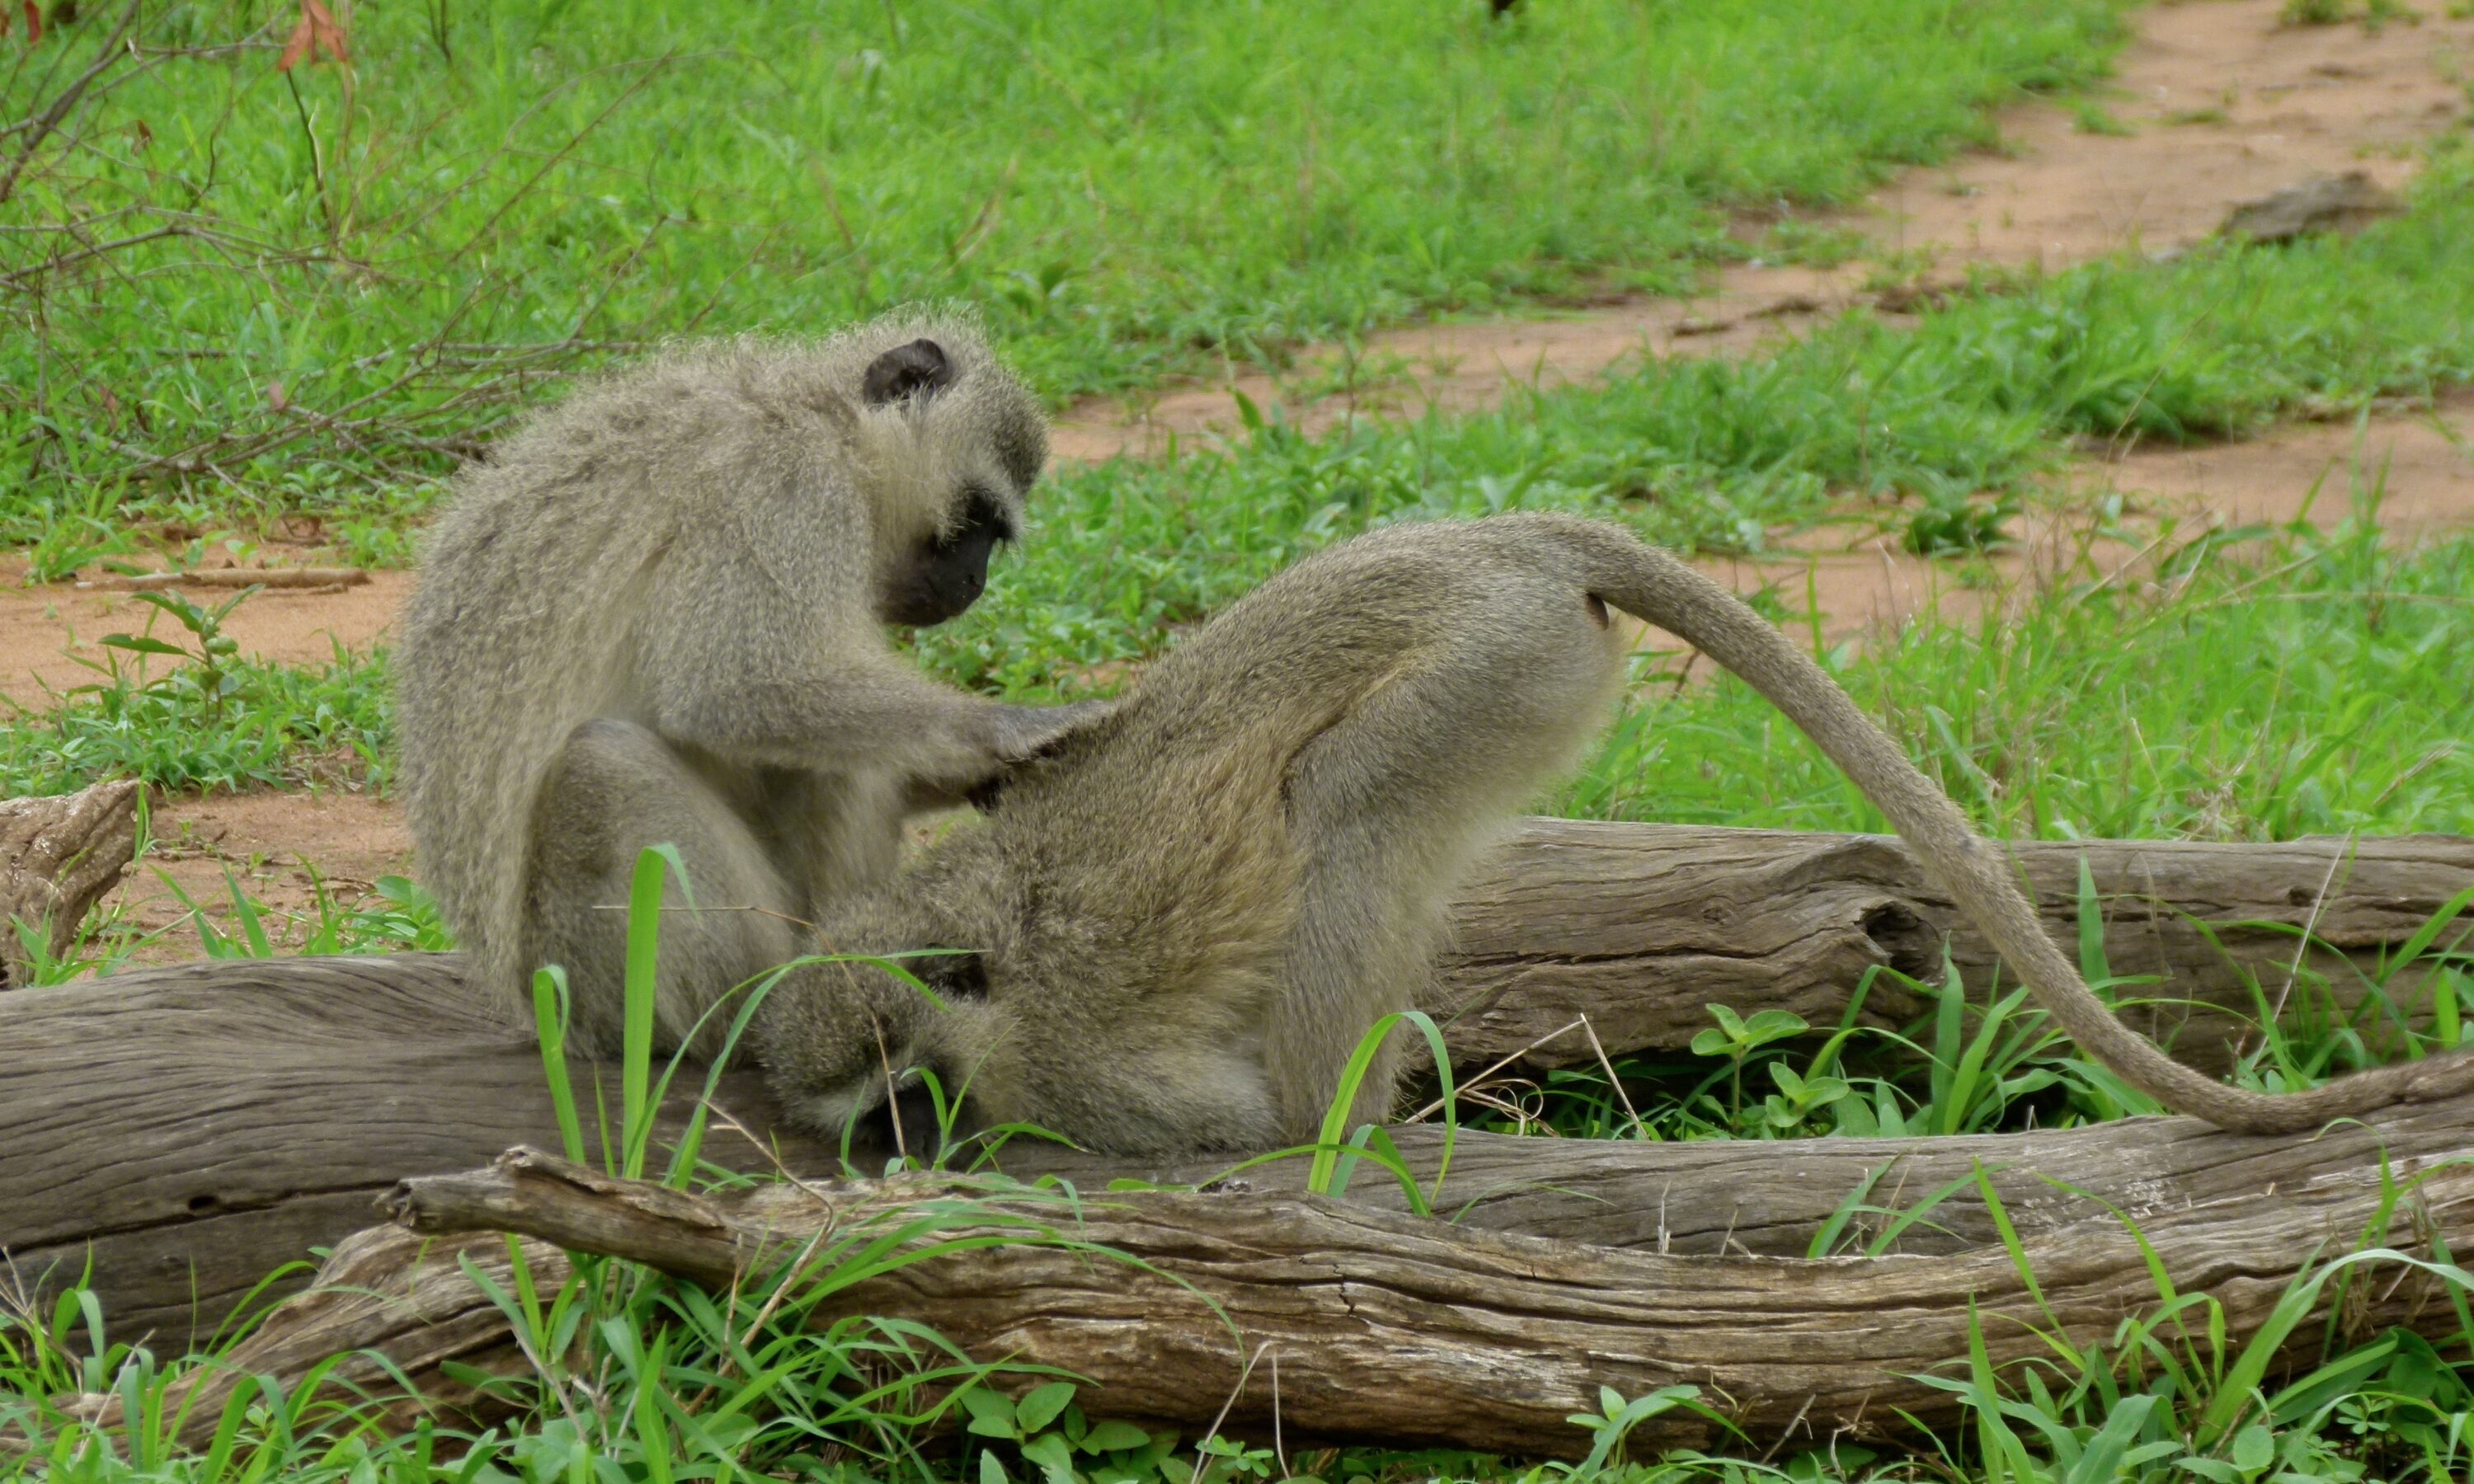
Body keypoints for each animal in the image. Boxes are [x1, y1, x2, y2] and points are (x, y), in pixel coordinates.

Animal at [395, 309, 1105, 1059]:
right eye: (974, 518)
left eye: (993, 536)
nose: (975, 581)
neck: (826, 422)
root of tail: (545, 1017)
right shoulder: (786, 491)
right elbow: (734, 688)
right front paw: (1015, 728)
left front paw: (990, 775)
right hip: (597, 980)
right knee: (602, 765)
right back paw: (787, 998)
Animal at [747, 512, 2474, 1155]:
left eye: (906, 1105)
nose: (907, 1160)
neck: (979, 965)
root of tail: (1499, 536)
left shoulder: (1064, 1066)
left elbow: (1189, 1123)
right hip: (1522, 673)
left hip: (1488, 661)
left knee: (1342, 804)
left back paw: (1338, 1113)